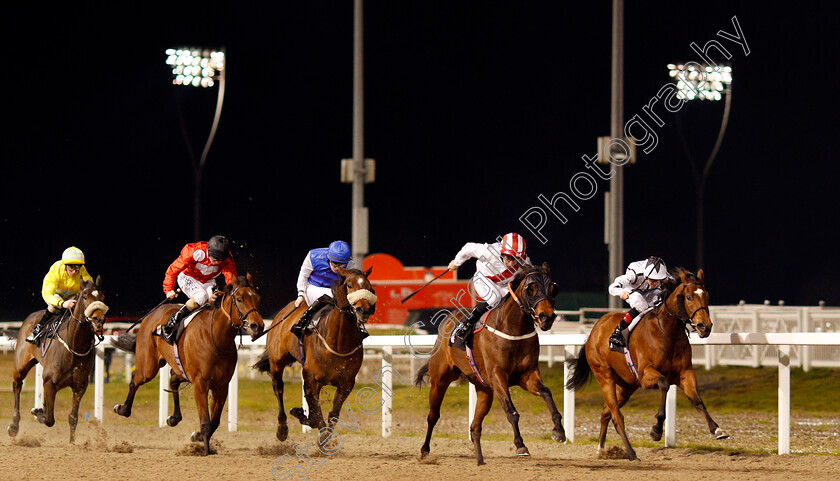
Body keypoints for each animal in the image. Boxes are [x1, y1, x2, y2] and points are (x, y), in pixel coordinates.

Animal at [8, 278, 108, 442]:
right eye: (85, 296)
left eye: (102, 297)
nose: (98, 319)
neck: (74, 346)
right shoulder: (49, 382)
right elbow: (49, 419)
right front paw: (37, 411)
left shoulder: (80, 386)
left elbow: (73, 417)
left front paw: (72, 443)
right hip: (20, 366)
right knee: (17, 385)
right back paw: (14, 425)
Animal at [111, 274, 262, 454]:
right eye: (239, 299)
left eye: (258, 299)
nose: (257, 326)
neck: (216, 337)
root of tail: (150, 316)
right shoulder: (200, 383)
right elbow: (206, 421)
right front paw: (205, 451)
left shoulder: (221, 385)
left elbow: (214, 421)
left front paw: (198, 436)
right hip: (148, 366)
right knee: (135, 379)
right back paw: (122, 408)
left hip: (181, 369)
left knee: (173, 380)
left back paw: (174, 418)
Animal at [253, 264, 378, 440]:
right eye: (349, 285)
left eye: (370, 287)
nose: (363, 309)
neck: (338, 342)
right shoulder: (311, 378)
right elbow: (315, 413)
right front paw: (306, 419)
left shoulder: (346, 382)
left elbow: (332, 413)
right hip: (276, 362)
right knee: (278, 388)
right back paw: (282, 428)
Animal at [414, 262, 564, 464]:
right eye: (530, 288)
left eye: (553, 288)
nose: (546, 317)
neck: (513, 330)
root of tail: (447, 320)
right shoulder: (498, 375)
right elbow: (511, 411)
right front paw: (520, 445)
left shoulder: (527, 375)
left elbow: (546, 392)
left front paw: (559, 431)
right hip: (440, 380)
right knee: (433, 416)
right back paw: (425, 450)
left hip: (484, 389)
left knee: (474, 426)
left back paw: (480, 460)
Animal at [564, 268, 728, 460]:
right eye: (688, 297)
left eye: (707, 296)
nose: (705, 327)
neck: (667, 331)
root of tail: (593, 331)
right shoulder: (645, 375)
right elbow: (664, 384)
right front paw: (656, 430)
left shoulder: (685, 373)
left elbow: (697, 400)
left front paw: (717, 429)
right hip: (605, 377)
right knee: (617, 416)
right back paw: (630, 453)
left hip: (626, 386)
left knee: (606, 412)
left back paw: (601, 449)